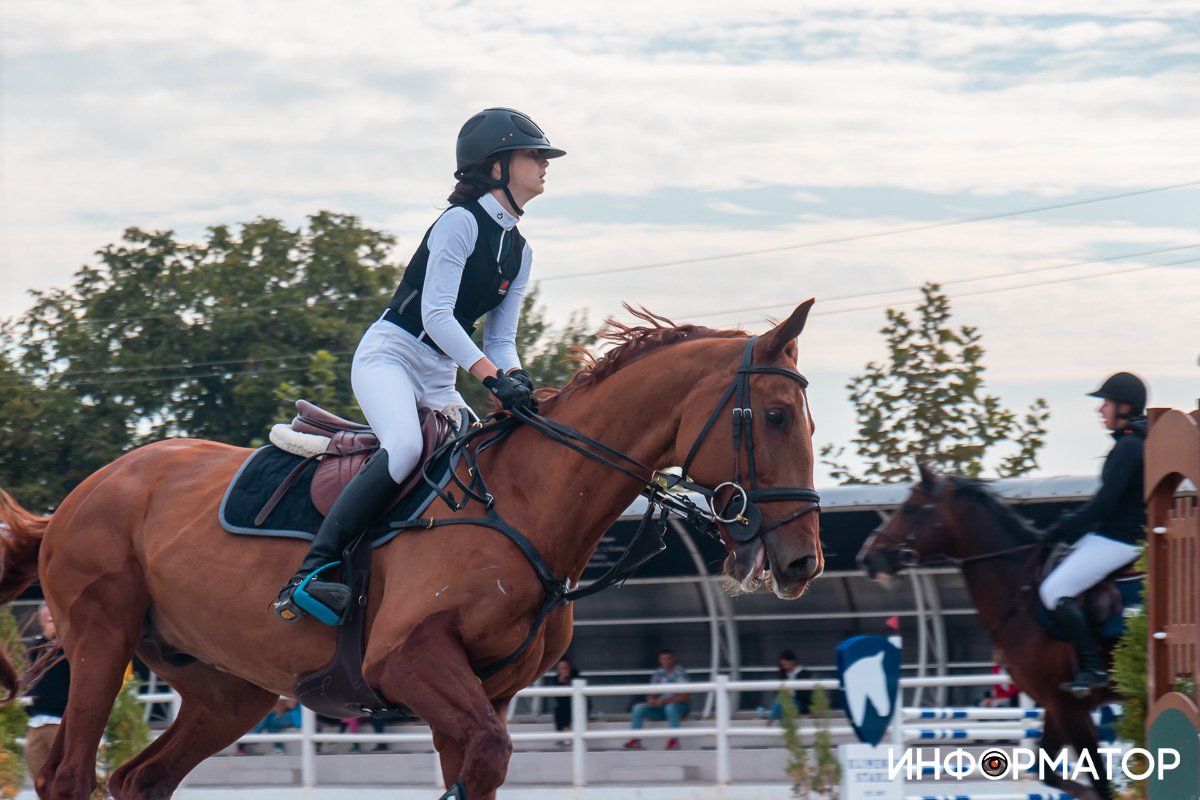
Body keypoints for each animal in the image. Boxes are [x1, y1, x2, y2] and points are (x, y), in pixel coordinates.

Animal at [0, 302, 823, 800]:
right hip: (102, 638)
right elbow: (483, 758)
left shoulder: (485, 691)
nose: (802, 564)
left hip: (227, 689)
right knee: (68, 773)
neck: (526, 503)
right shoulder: (407, 660)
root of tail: (80, 495)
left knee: (140, 779)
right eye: (777, 417)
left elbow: (479, 766)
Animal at [856, 462, 1120, 800]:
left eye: (911, 508)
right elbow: (1049, 772)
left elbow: (1100, 783)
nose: (867, 558)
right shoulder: (1055, 703)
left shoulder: (1069, 705)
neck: (1022, 591)